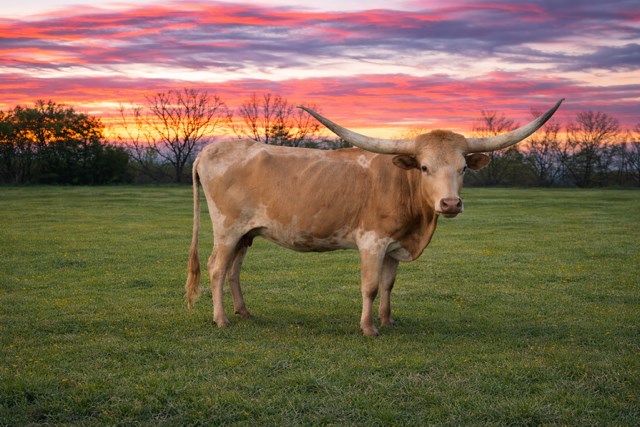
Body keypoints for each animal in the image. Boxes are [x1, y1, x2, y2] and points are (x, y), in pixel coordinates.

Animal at [185, 99, 564, 335]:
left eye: (463, 168)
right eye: (424, 167)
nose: (450, 203)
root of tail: (210, 150)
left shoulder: (394, 246)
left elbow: (388, 284)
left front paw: (388, 320)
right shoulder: (372, 242)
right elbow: (369, 285)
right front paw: (368, 328)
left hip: (246, 233)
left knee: (234, 270)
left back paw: (243, 311)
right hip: (227, 229)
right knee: (217, 268)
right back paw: (221, 320)